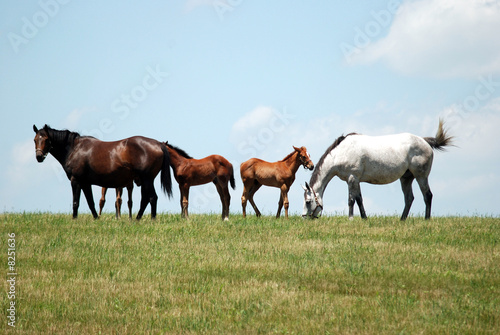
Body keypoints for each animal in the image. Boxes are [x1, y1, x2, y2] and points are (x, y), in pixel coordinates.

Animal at [33, 124, 173, 219]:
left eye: (46, 139)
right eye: (35, 140)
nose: (39, 157)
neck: (75, 148)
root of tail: (159, 144)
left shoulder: (76, 180)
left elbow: (75, 202)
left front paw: (74, 219)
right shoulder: (85, 183)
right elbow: (91, 202)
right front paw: (96, 218)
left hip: (147, 179)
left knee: (152, 197)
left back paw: (152, 219)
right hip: (145, 180)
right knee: (145, 199)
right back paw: (137, 219)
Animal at [300, 120, 454, 220]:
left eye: (308, 201)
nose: (304, 218)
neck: (341, 153)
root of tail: (425, 141)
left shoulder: (352, 178)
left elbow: (351, 200)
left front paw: (350, 219)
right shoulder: (356, 180)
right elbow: (360, 199)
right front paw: (364, 218)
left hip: (421, 176)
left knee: (427, 195)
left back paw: (426, 219)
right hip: (406, 178)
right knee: (409, 198)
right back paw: (402, 220)